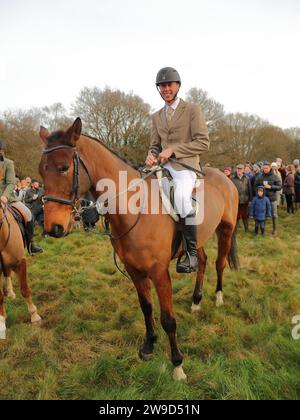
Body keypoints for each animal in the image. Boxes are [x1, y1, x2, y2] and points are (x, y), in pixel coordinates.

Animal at [38, 117, 239, 380]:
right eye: (41, 170)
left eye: (63, 167)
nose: (53, 228)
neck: (136, 209)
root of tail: (225, 177)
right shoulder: (134, 270)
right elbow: (146, 308)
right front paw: (149, 346)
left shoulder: (159, 273)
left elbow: (168, 319)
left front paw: (178, 365)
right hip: (200, 238)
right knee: (202, 261)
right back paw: (196, 301)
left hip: (226, 230)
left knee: (220, 263)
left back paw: (218, 298)